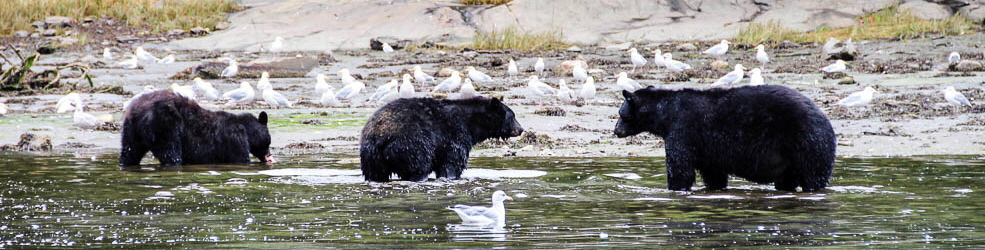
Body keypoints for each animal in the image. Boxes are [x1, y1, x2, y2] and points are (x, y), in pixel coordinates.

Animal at [119, 90, 274, 166]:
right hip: (163, 125)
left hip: (131, 131)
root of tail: (137, 112)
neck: (247, 131)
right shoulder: (234, 139)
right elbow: (239, 158)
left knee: (129, 152)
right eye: (268, 141)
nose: (269, 156)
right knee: (170, 151)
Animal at [362, 96, 528, 182]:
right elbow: (452, 163)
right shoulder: (455, 134)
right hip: (411, 144)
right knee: (418, 166)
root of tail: (380, 135)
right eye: (512, 116)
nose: (521, 129)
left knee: (375, 174)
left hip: (371, 156)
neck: (472, 122)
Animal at [616, 85, 836, 191]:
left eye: (621, 113)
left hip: (807, 142)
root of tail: (826, 121)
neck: (665, 113)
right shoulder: (706, 147)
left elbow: (680, 168)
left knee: (814, 175)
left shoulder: (683, 130)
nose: (616, 130)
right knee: (788, 179)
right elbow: (714, 173)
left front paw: (675, 188)